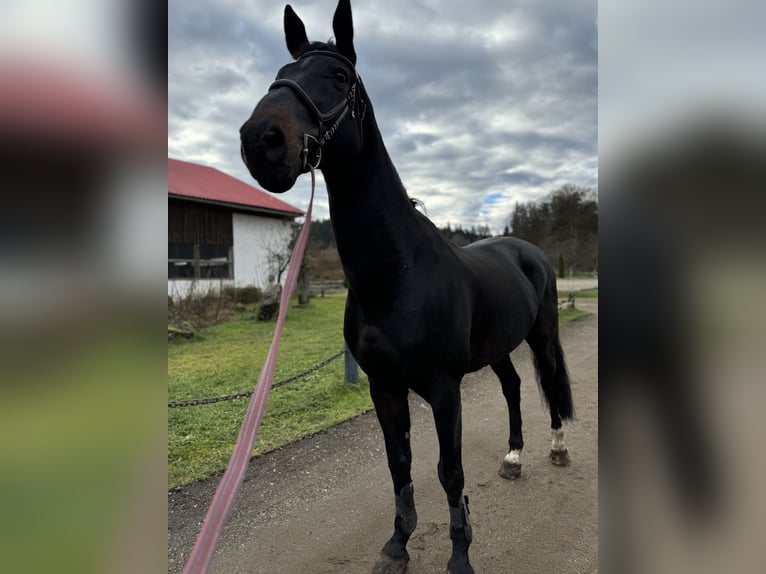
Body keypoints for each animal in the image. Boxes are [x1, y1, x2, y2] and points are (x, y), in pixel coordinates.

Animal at [242, 2, 576, 572]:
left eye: (338, 77)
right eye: (282, 74)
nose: (260, 140)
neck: (397, 277)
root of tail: (528, 251)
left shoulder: (443, 389)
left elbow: (450, 471)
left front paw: (460, 555)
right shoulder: (385, 386)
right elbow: (399, 465)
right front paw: (398, 543)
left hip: (542, 334)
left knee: (550, 382)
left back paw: (556, 448)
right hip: (497, 348)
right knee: (512, 387)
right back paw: (513, 457)